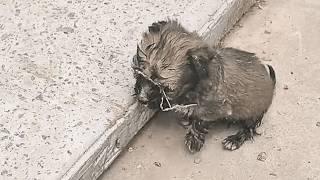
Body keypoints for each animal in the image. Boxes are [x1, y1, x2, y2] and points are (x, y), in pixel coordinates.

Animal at [131, 20, 276, 153]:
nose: (142, 99)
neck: (193, 87)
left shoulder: (214, 110)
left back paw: (234, 139)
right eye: (139, 74)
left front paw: (194, 139)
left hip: (252, 112)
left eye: (165, 89)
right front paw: (186, 118)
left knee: (249, 127)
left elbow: (200, 121)